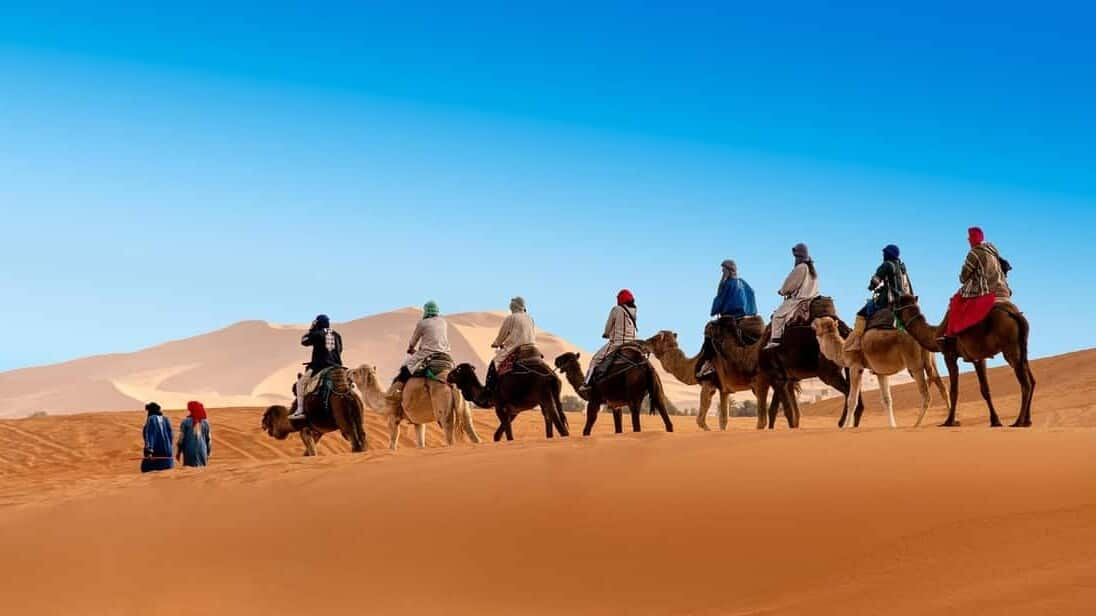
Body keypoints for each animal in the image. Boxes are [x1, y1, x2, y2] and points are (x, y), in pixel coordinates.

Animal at [640, 326, 771, 431]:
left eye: (654, 339)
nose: (642, 343)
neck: (694, 364)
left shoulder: (708, 383)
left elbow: (700, 420)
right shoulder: (724, 389)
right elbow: (723, 420)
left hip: (759, 382)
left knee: (762, 420)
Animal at [811, 315, 946, 427]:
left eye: (820, 322)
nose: (813, 320)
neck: (843, 350)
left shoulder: (855, 367)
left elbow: (852, 400)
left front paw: (846, 427)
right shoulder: (880, 372)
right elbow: (887, 400)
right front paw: (893, 426)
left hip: (915, 365)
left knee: (926, 395)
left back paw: (916, 424)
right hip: (930, 361)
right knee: (940, 384)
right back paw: (946, 421)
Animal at [894, 291, 1030, 427]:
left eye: (896, 303)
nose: (892, 310)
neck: (935, 333)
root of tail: (1015, 314)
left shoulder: (949, 354)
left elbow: (954, 390)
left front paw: (949, 421)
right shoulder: (978, 358)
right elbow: (985, 389)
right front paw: (995, 421)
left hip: (1010, 347)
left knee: (1025, 383)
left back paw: (1019, 422)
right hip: (1020, 347)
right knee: (1030, 379)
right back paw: (1026, 421)